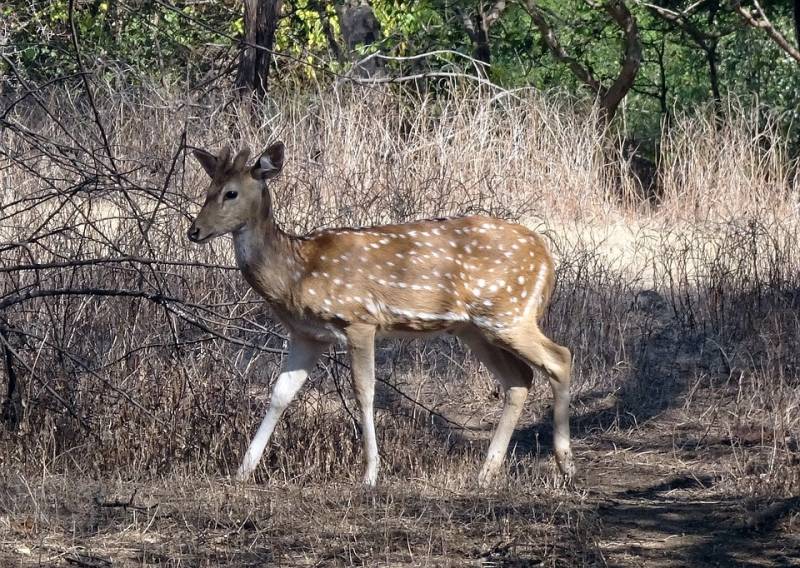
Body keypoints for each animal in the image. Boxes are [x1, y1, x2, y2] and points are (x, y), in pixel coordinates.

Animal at [188, 144, 576, 486]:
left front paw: (371, 474)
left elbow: (365, 392)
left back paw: (564, 463)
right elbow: (280, 393)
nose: (194, 231)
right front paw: (242, 471)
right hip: (473, 328)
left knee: (560, 357)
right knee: (519, 378)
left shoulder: (359, 319)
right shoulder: (308, 334)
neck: (297, 272)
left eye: (231, 193)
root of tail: (547, 257)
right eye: (207, 190)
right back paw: (486, 473)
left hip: (508, 312)